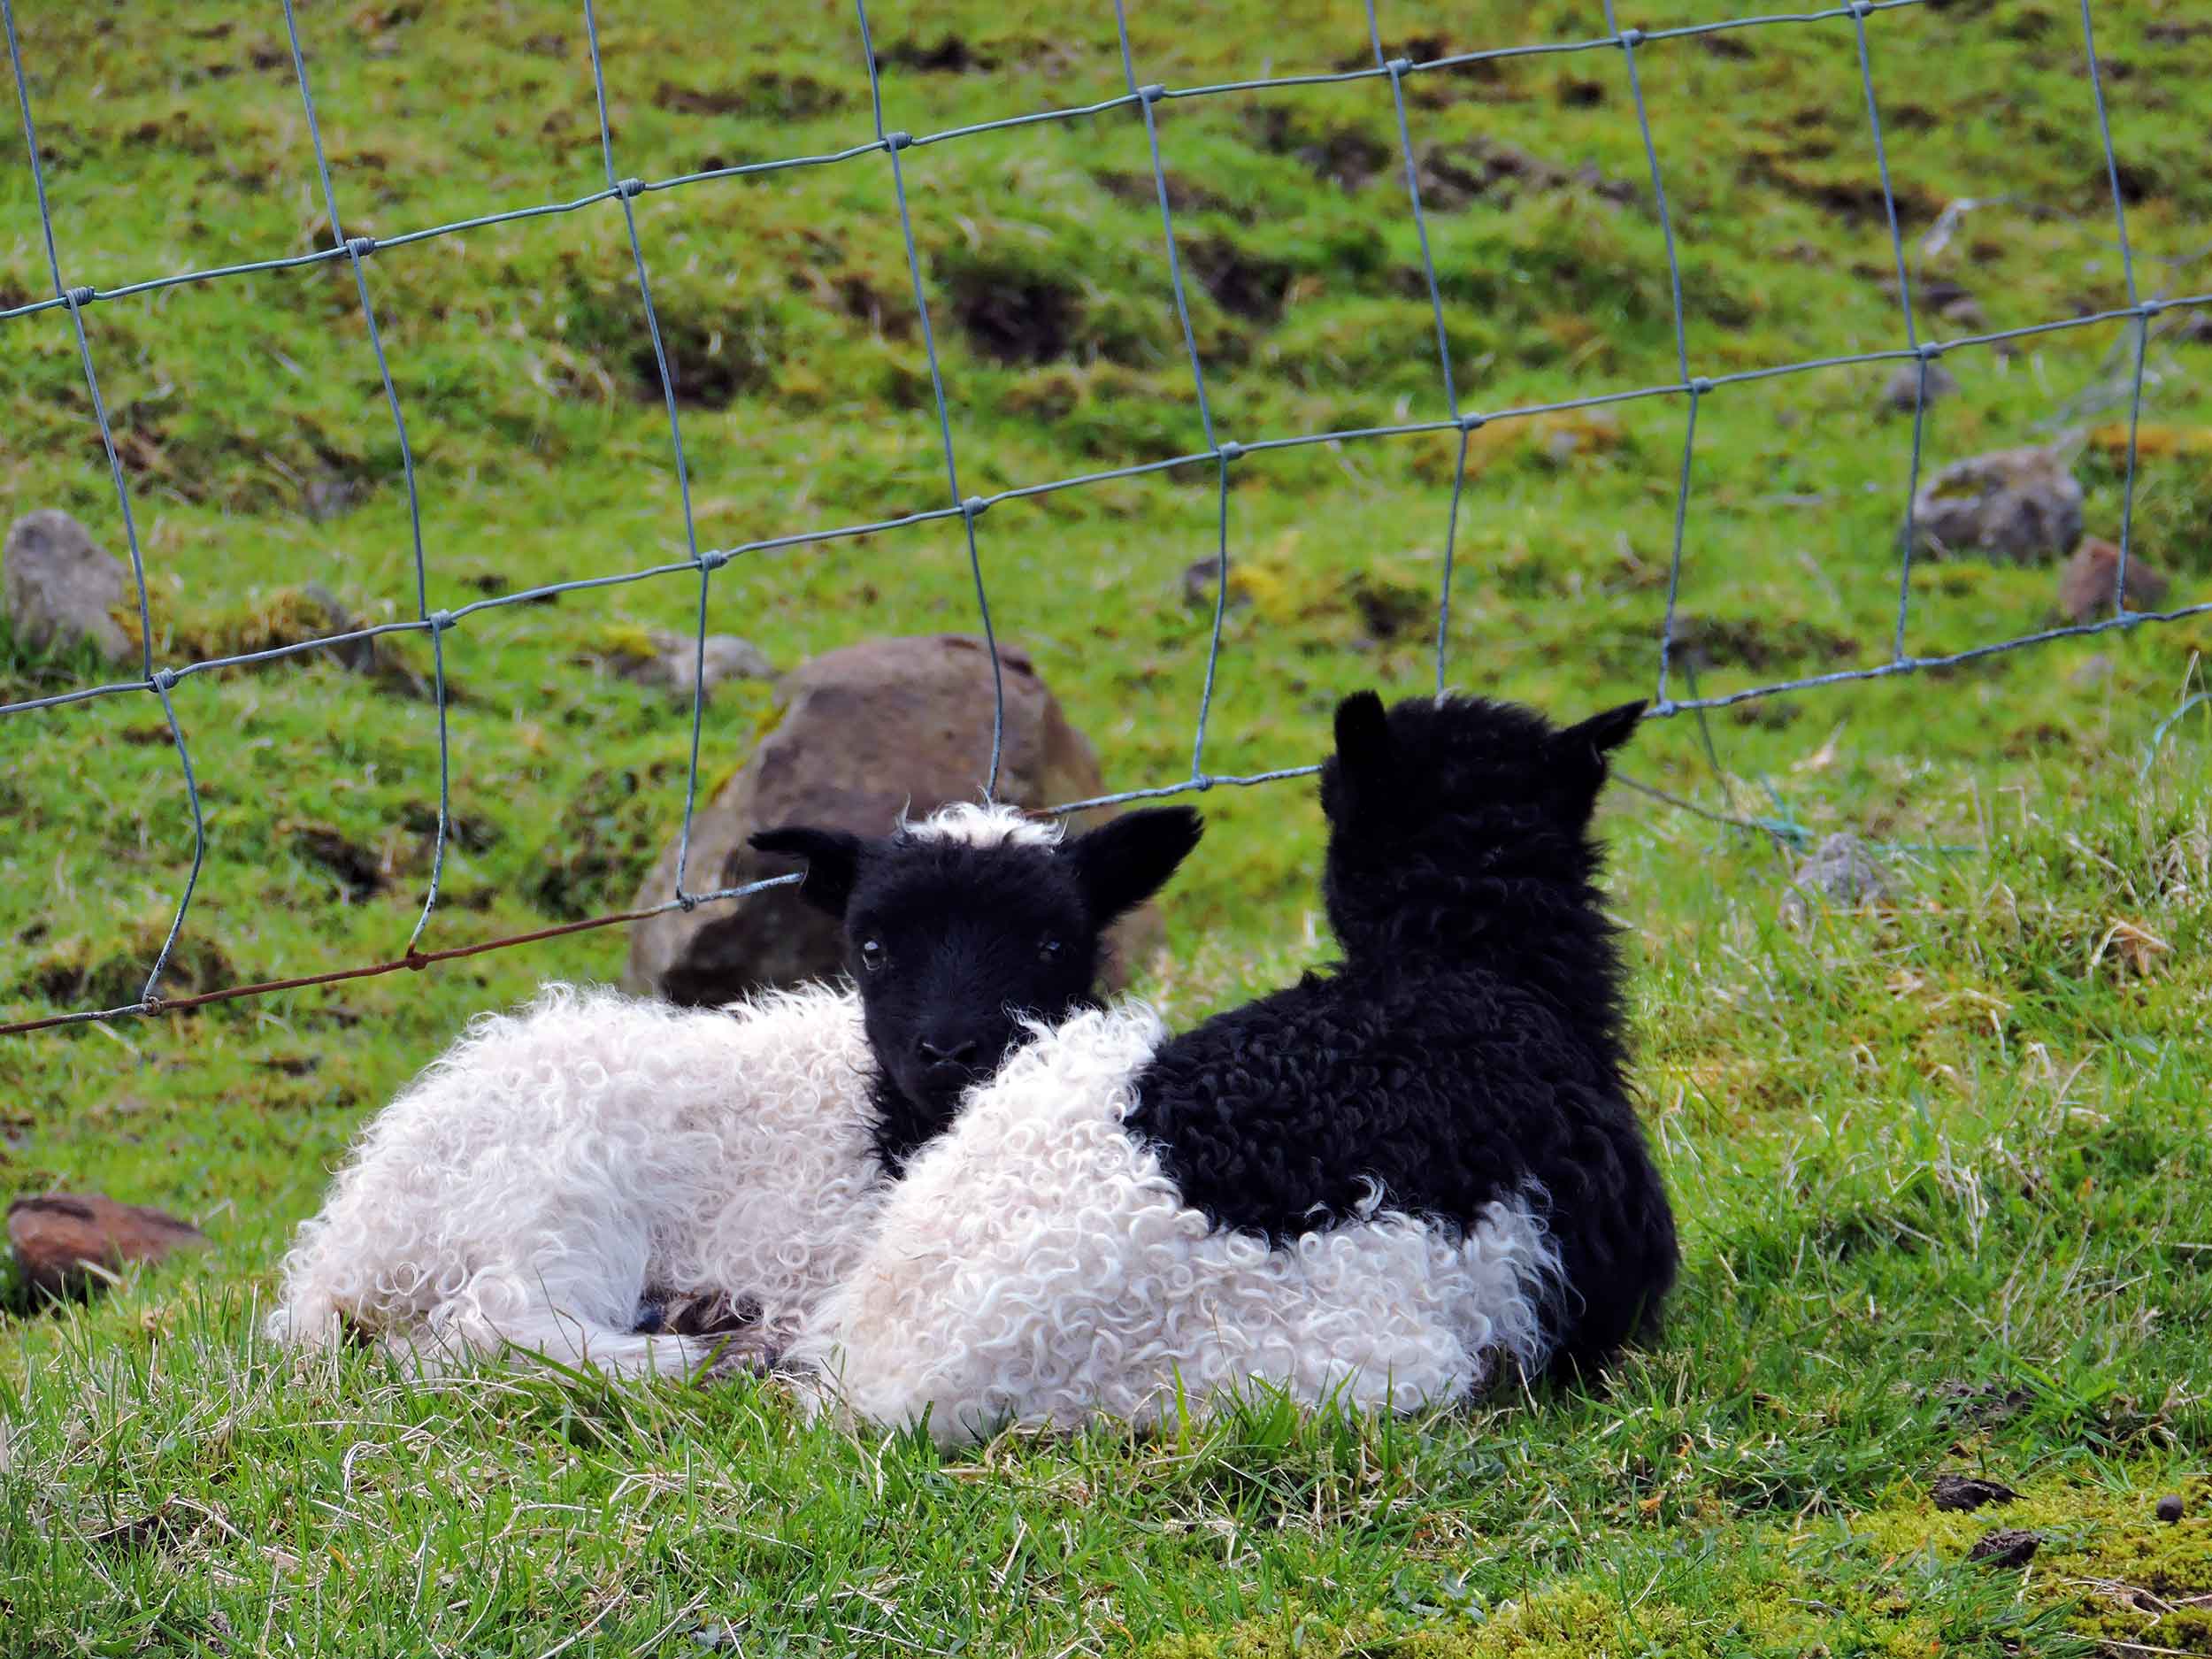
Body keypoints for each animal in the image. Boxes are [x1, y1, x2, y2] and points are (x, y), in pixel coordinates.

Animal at [265, 800, 1205, 1380]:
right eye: (872, 948)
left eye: (1052, 945)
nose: (949, 1050)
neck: (885, 1130)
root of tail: (346, 1248)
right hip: (556, 1188)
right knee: (493, 1328)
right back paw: (709, 1352)